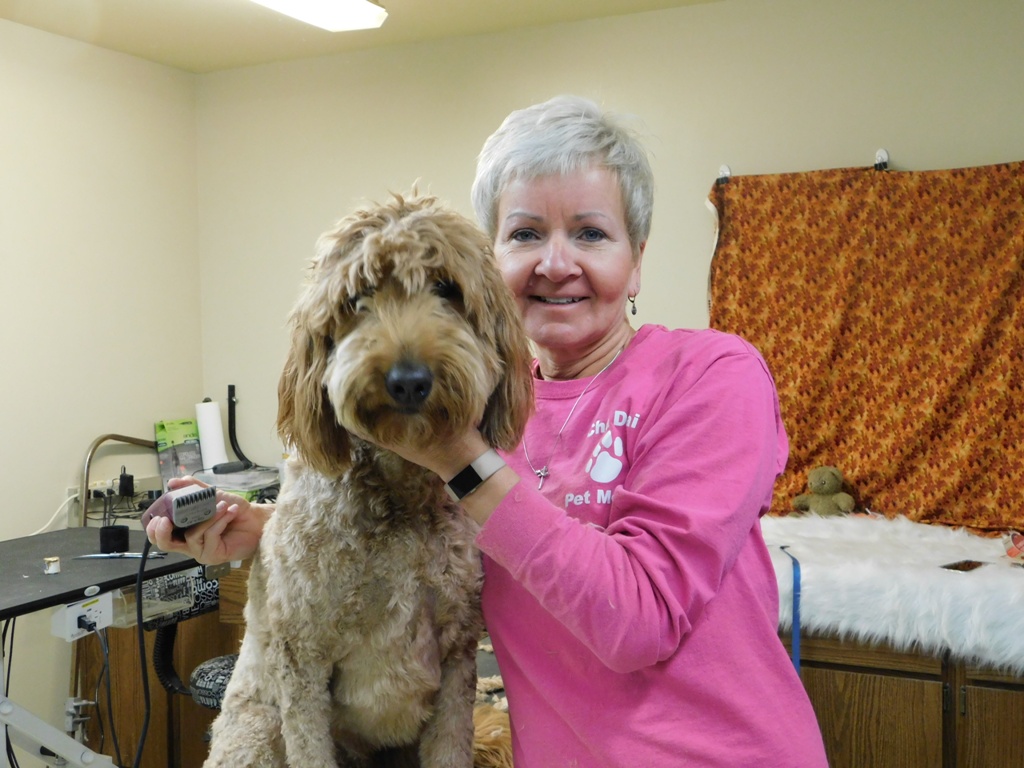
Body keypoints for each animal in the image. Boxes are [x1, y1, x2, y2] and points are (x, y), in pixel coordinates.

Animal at [203, 193, 533, 767]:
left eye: (446, 288)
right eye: (357, 298)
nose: (408, 381)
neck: (399, 496)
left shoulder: (457, 650)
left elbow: (451, 744)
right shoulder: (302, 656)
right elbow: (310, 747)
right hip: (256, 731)